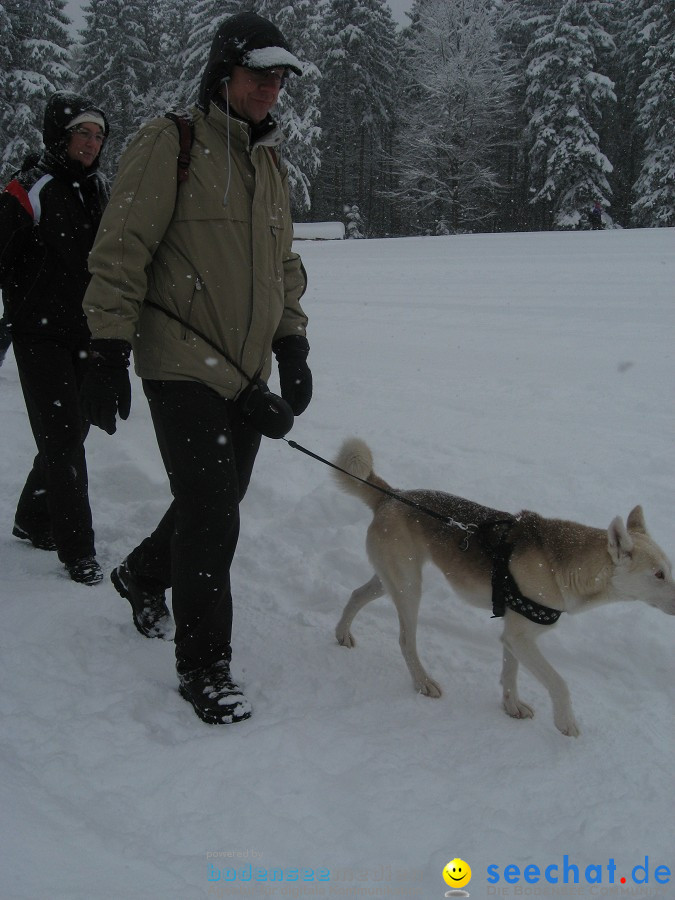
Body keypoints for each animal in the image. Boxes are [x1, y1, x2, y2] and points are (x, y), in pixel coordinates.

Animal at [334, 438, 675, 740]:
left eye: (668, 569)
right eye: (658, 574)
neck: (565, 568)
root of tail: (392, 495)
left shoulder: (513, 634)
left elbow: (510, 675)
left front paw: (512, 707)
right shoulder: (521, 638)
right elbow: (559, 683)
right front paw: (566, 722)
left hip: (390, 580)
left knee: (356, 595)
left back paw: (342, 634)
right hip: (408, 588)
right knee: (406, 640)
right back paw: (422, 682)